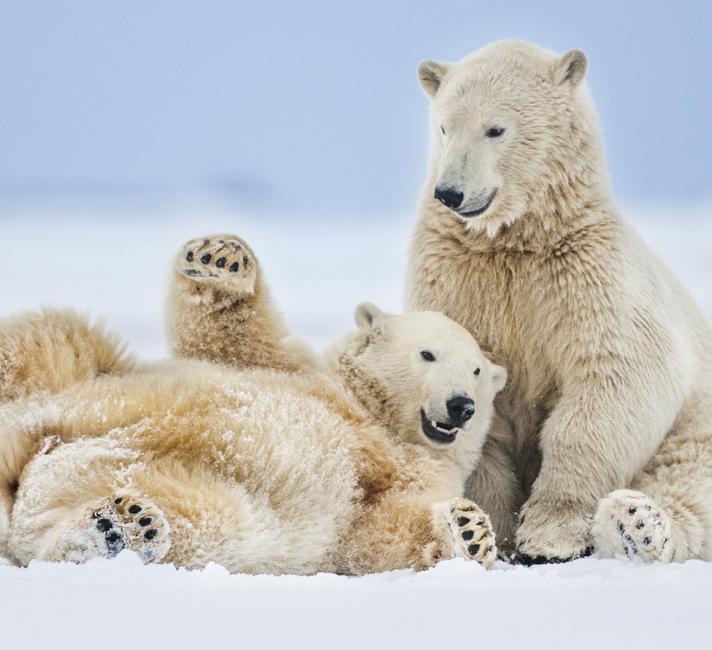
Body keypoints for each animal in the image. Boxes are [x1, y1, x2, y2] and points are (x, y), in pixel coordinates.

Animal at [0, 233, 506, 572]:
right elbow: (233, 339)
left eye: (477, 371)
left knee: (199, 521)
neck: (377, 419)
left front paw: (470, 533)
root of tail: (26, 463)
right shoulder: (302, 372)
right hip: (67, 384)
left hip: (175, 487)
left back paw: (120, 526)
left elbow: (380, 535)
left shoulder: (412, 476)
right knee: (53, 338)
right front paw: (220, 257)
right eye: (428, 354)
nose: (462, 405)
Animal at [406, 38, 712, 560]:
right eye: (444, 126)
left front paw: (550, 535)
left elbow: (620, 373)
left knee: (690, 476)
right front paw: (488, 529)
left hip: (697, 420)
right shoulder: (457, 278)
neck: (516, 240)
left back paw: (638, 523)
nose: (450, 192)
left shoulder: (588, 274)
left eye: (495, 128)